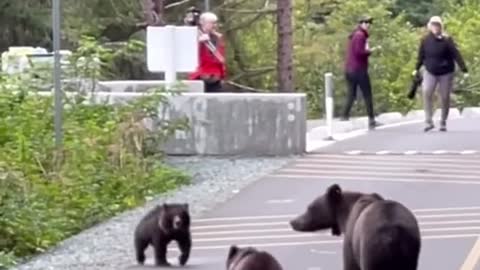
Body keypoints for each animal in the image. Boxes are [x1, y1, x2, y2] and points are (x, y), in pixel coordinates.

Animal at [288, 184, 420, 270]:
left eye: (309, 207)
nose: (292, 222)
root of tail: (394, 234)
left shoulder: (351, 241)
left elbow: (349, 264)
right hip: (410, 250)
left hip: (371, 249)